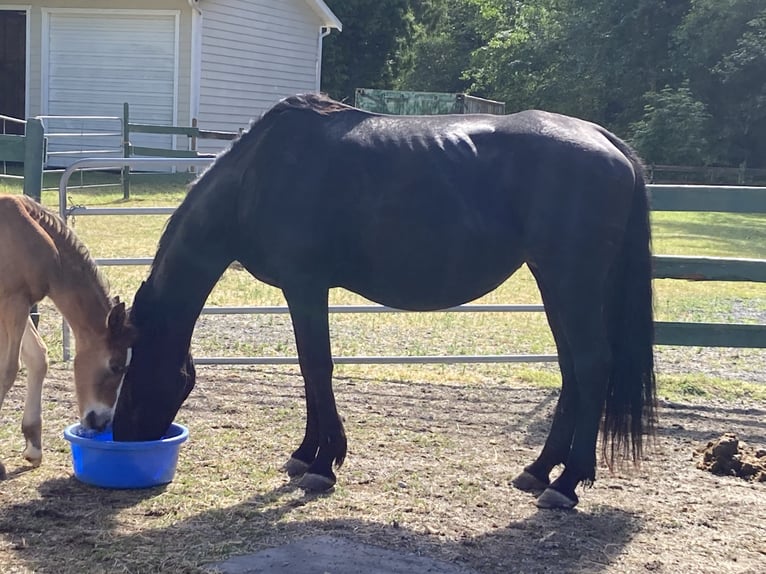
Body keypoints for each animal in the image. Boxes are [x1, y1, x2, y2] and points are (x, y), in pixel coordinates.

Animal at [0, 194, 135, 479]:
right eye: (116, 365)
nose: (101, 422)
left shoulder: (18, 304)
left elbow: (38, 358)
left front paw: (33, 447)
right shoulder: (13, 302)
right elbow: (8, 370)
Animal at [113, 93, 657, 510]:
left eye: (128, 370)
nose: (122, 437)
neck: (255, 178)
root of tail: (605, 140)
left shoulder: (305, 286)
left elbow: (317, 368)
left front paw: (323, 464)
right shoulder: (301, 289)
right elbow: (309, 371)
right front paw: (305, 455)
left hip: (572, 282)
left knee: (592, 365)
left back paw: (566, 484)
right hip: (553, 283)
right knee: (572, 370)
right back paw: (539, 470)